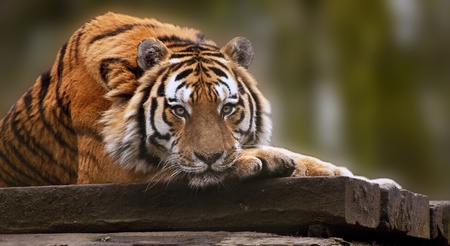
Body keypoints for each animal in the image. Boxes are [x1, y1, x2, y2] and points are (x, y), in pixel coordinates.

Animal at [0, 12, 386, 188]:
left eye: (227, 108)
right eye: (178, 110)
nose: (210, 157)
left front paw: (361, 178)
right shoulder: (104, 170)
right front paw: (262, 159)